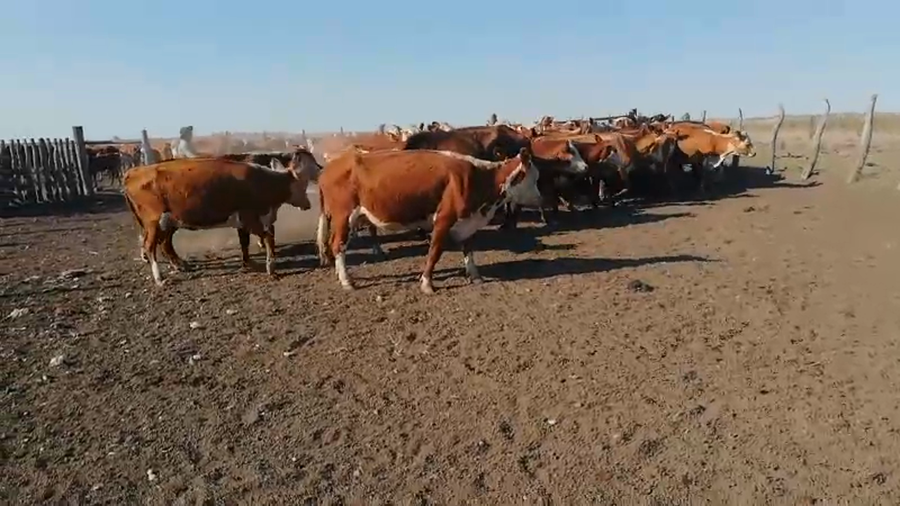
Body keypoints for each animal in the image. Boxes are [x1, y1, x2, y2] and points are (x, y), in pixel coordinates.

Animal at [122, 151, 319, 286]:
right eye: (304, 182)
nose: (308, 204)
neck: (263, 182)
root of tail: (134, 172)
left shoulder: (242, 221)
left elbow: (245, 242)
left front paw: (248, 263)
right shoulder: (249, 218)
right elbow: (268, 238)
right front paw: (271, 267)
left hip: (168, 221)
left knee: (164, 244)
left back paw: (180, 265)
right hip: (154, 222)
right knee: (150, 247)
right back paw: (159, 278)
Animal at [315, 147, 542, 293]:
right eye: (533, 179)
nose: (541, 198)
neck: (479, 178)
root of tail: (329, 167)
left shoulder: (467, 222)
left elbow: (468, 249)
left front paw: (475, 276)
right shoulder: (443, 219)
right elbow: (434, 252)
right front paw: (427, 284)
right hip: (344, 216)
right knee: (338, 245)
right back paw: (347, 281)